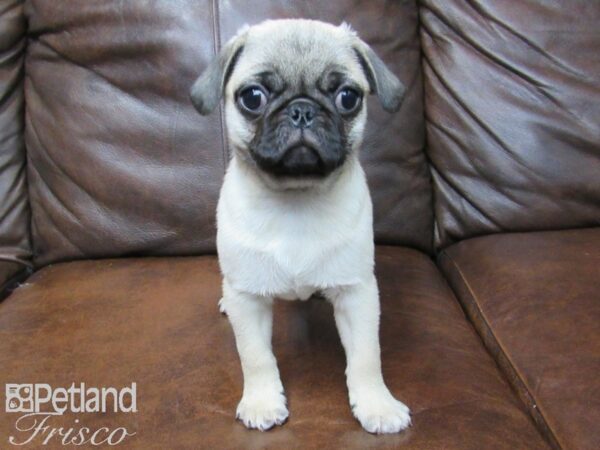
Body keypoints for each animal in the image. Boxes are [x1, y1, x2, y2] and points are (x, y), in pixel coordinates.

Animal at [192, 19, 412, 434]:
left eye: (348, 97)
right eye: (253, 97)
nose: (302, 111)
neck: (296, 200)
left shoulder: (358, 294)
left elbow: (366, 357)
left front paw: (376, 405)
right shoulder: (248, 299)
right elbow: (256, 356)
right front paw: (262, 401)